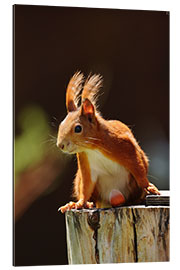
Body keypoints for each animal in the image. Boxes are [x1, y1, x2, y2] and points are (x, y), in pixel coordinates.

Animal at [57, 71, 160, 213]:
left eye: (78, 128)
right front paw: (79, 203)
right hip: (81, 181)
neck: (93, 148)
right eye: (61, 125)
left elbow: (138, 170)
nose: (60, 145)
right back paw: (87, 204)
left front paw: (149, 187)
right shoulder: (86, 165)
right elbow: (86, 187)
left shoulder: (126, 147)